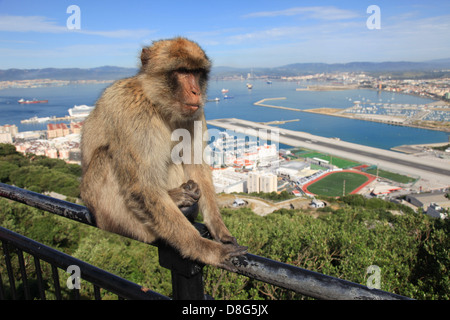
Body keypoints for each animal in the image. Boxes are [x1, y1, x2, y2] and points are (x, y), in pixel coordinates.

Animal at [81, 38, 250, 272]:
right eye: (182, 71)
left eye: (196, 72)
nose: (196, 92)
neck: (157, 103)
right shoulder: (132, 111)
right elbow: (142, 187)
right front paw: (205, 249)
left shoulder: (195, 114)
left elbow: (196, 166)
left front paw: (219, 230)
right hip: (112, 217)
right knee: (106, 156)